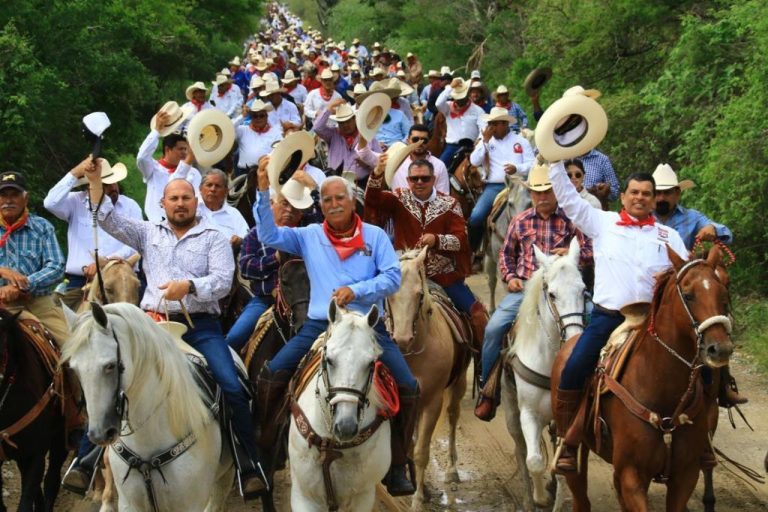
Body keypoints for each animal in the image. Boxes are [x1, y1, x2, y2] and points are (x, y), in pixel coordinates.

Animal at [288, 300, 392, 511]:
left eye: (371, 363)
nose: (345, 427)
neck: (330, 443)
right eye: (329, 359)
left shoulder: (363, 497)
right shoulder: (303, 497)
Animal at [387, 248, 472, 506]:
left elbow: (421, 452)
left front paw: (417, 500)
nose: (402, 338)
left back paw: (452, 470)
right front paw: (418, 487)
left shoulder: (433, 402)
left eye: (418, 295)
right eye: (388, 294)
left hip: (458, 384)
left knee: (453, 416)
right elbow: (409, 446)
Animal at [501, 240, 585, 511]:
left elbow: (562, 468)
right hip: (511, 410)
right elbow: (535, 461)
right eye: (552, 294)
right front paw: (540, 498)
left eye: (583, 291)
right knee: (521, 449)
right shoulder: (528, 413)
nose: (575, 340)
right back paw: (529, 497)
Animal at [551, 246, 734, 512]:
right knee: (580, 497)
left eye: (723, 294)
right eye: (688, 295)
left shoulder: (685, 476)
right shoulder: (632, 475)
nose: (720, 349)